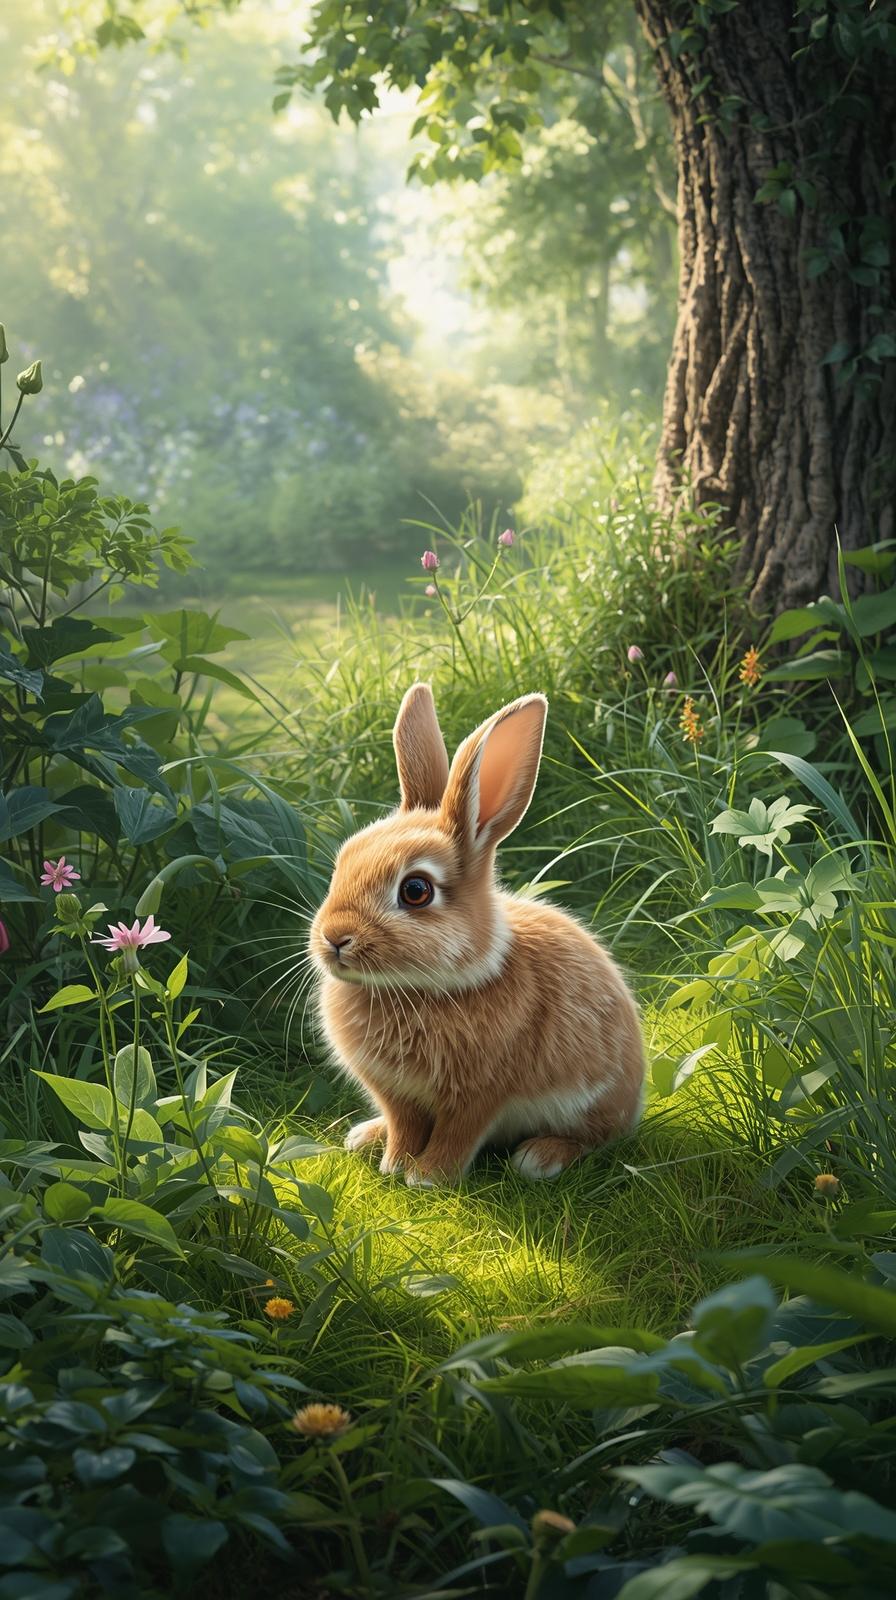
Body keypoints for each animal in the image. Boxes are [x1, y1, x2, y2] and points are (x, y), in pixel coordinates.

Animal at [309, 684, 646, 1185]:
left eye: (415, 890)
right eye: (343, 860)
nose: (334, 938)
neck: (424, 990)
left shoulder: (479, 1094)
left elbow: (458, 1134)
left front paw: (426, 1177)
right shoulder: (395, 1094)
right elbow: (403, 1125)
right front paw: (394, 1163)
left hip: (593, 1105)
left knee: (597, 1138)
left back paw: (540, 1157)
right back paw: (365, 1135)